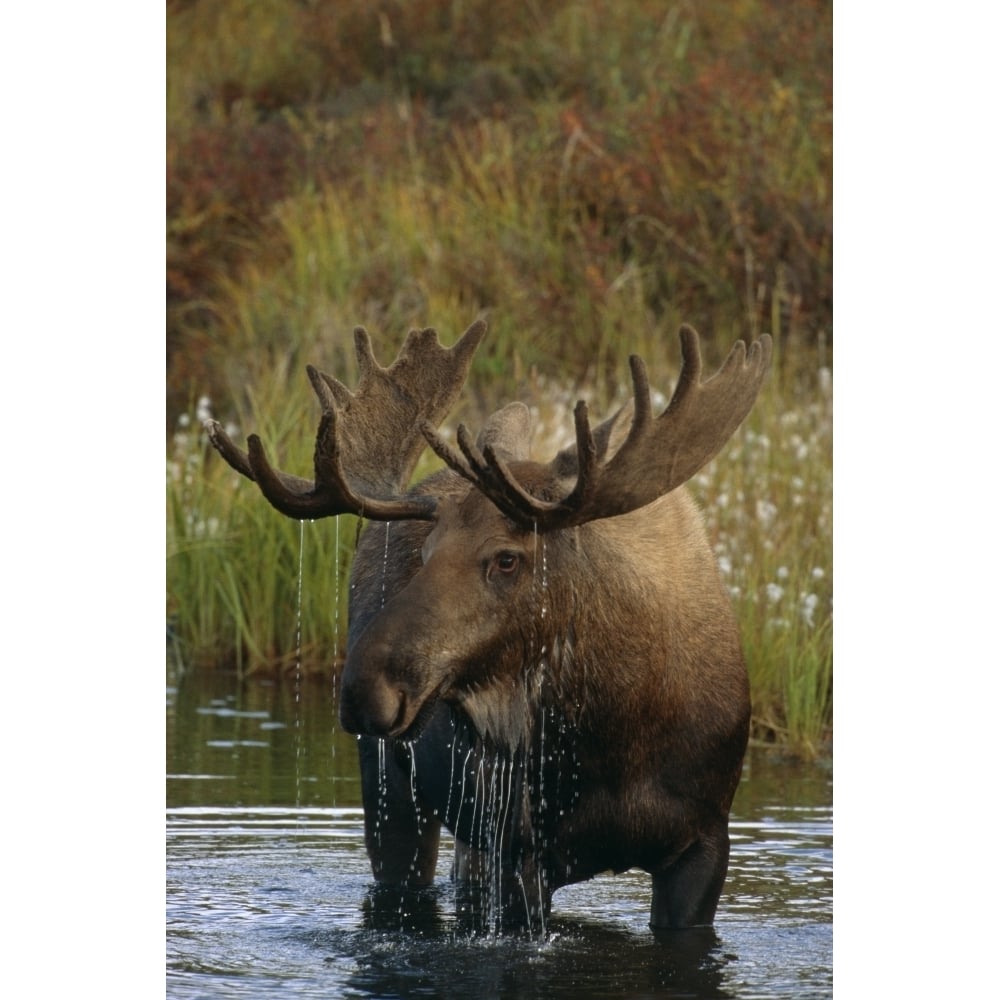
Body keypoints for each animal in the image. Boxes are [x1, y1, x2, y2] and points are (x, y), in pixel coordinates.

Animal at [205, 322, 772, 936]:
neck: (618, 737)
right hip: (396, 792)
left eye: (506, 559)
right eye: (426, 552)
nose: (363, 687)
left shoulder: (704, 841)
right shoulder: (521, 851)